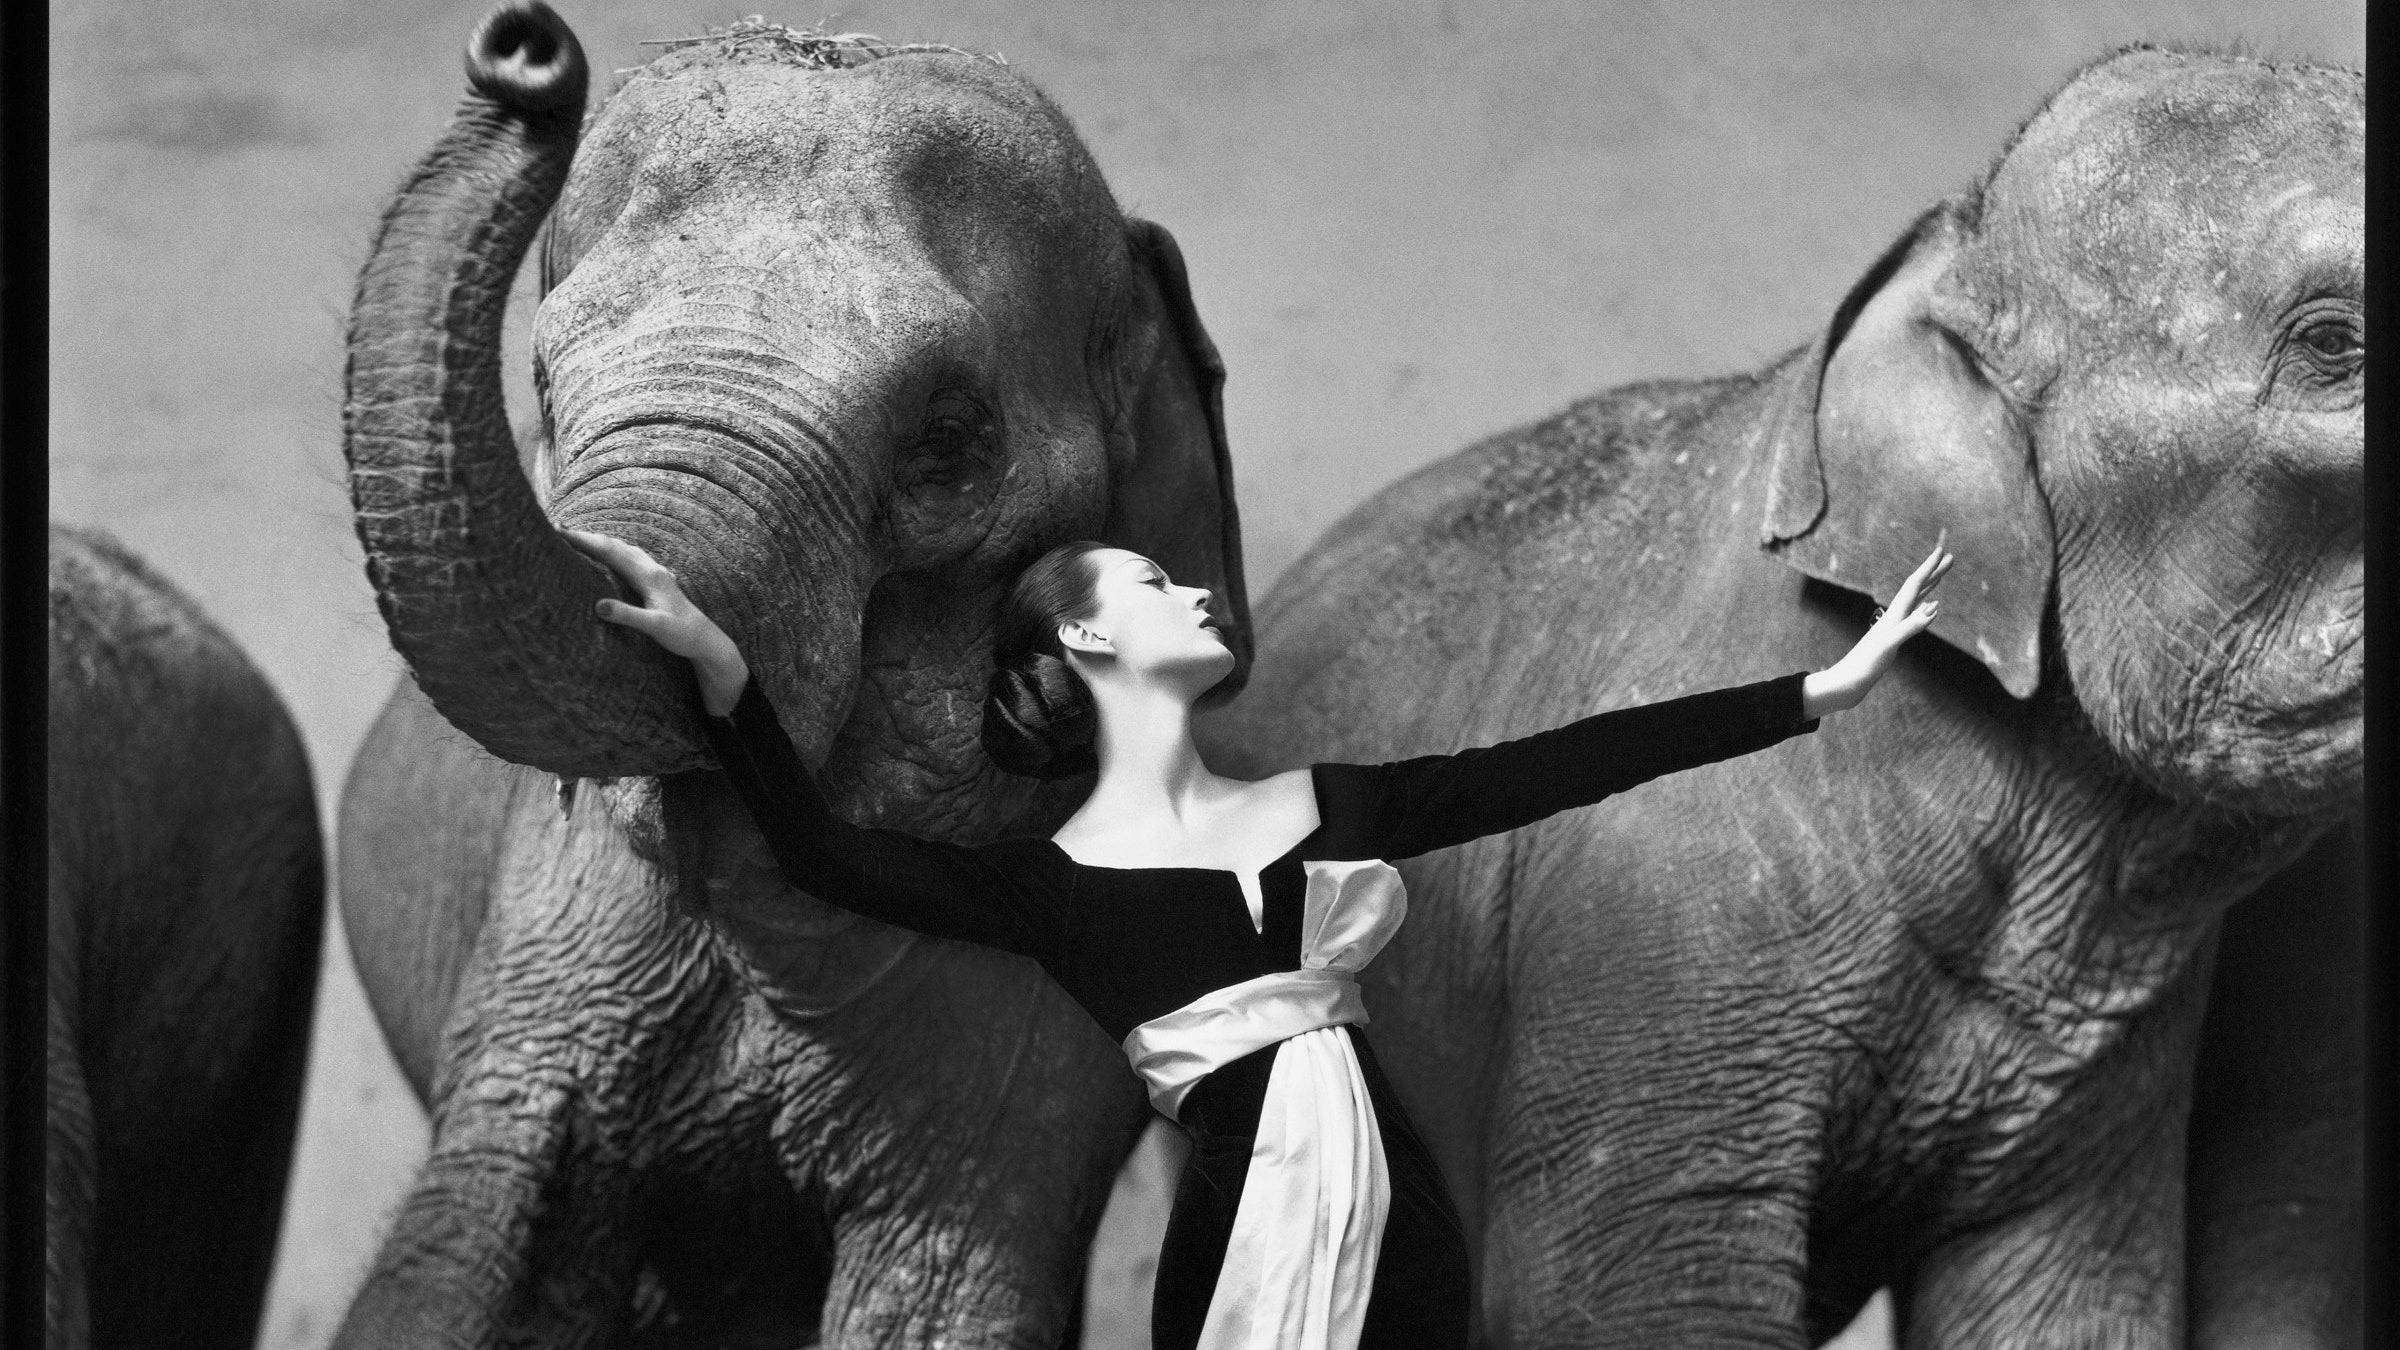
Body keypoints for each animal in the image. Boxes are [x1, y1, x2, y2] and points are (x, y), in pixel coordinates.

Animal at [335, 4, 1245, 1343]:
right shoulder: (545, 943)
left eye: (946, 442)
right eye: (541, 385)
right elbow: (479, 1242)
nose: (526, 50)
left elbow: (936, 1298)